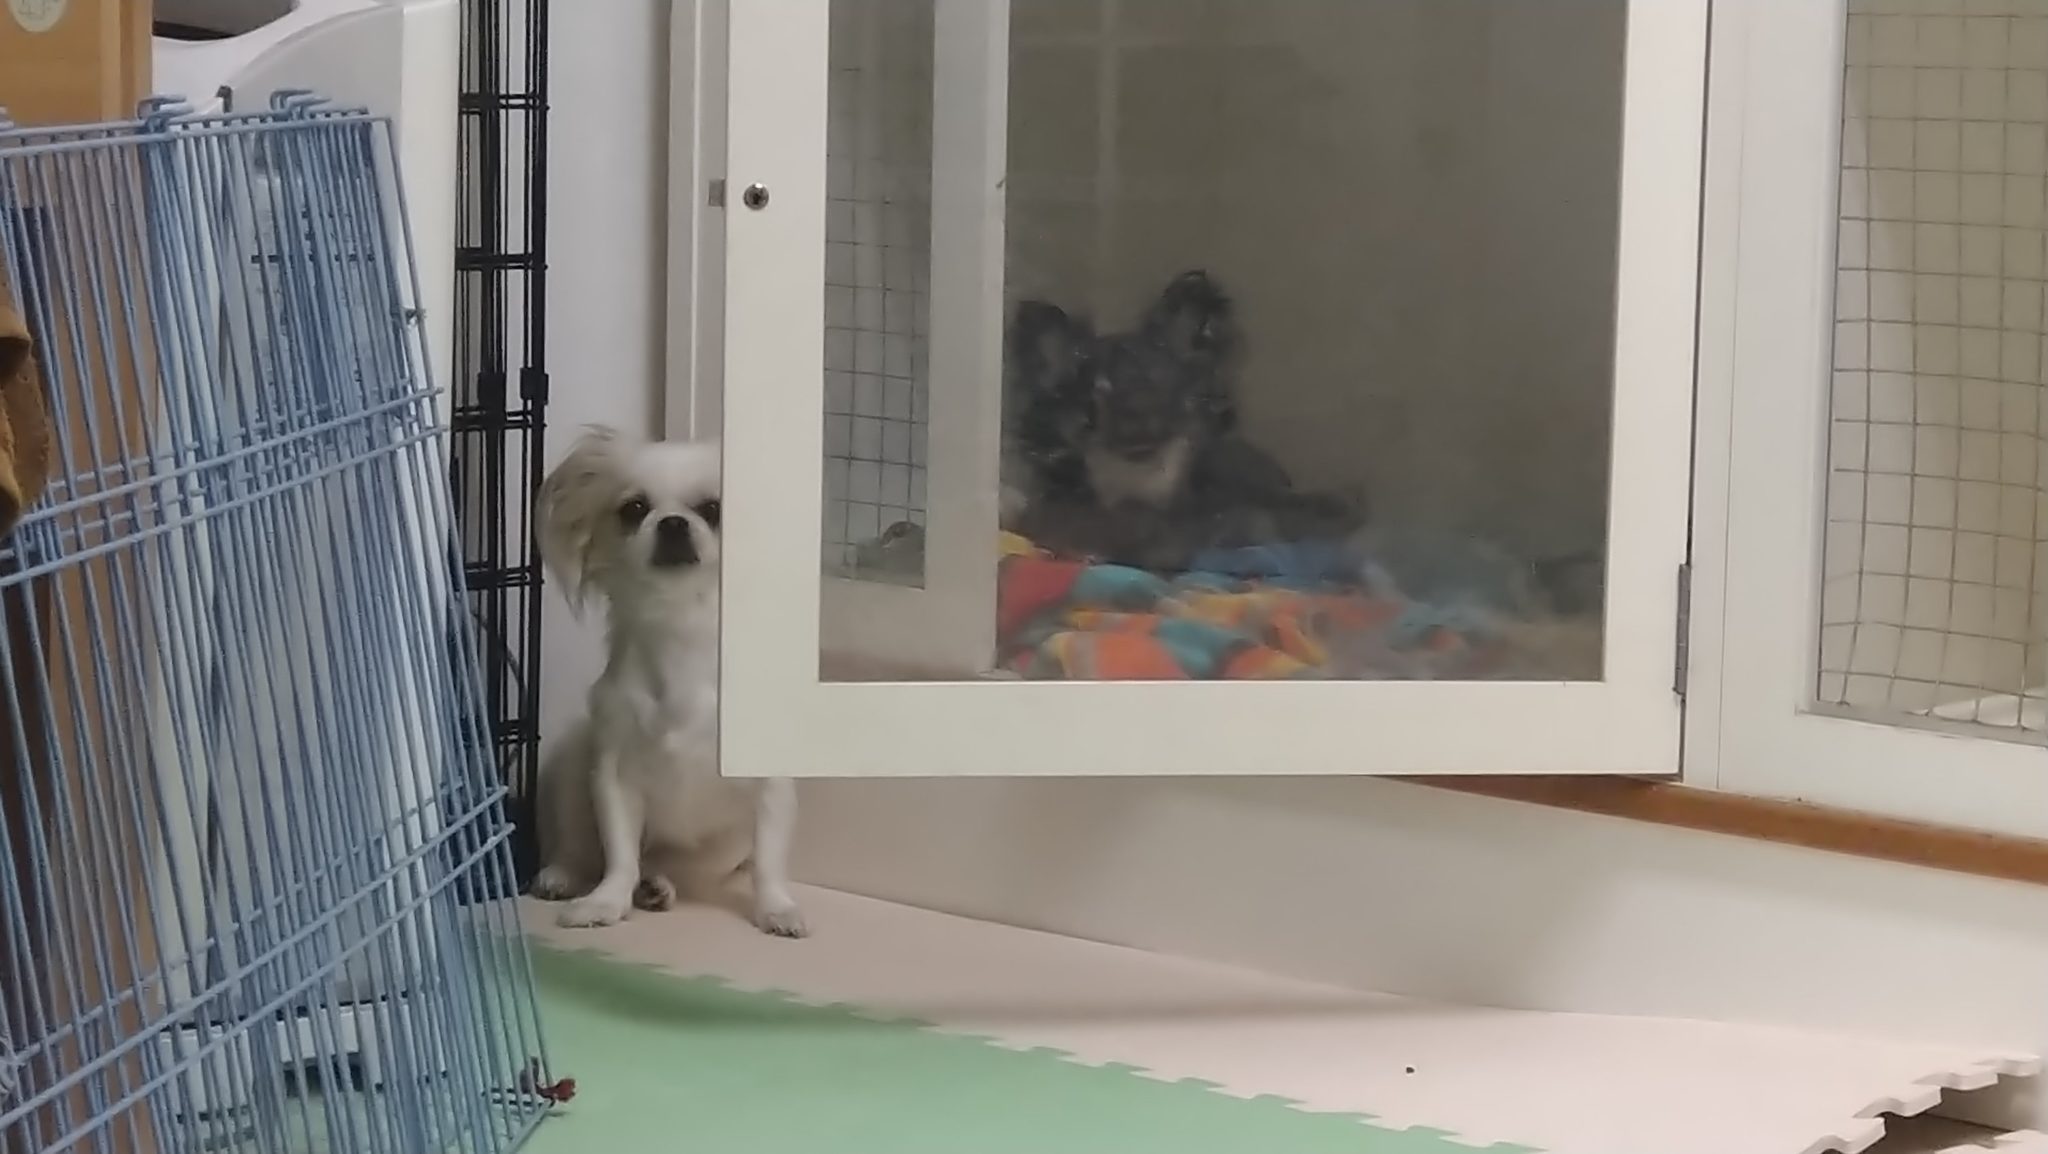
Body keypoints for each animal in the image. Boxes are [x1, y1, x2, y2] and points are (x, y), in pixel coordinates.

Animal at [527, 427, 805, 937]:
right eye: (633, 508)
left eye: (713, 509)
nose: (673, 523)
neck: (680, 629)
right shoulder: (614, 777)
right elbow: (618, 856)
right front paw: (605, 903)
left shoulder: (769, 787)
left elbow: (770, 859)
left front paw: (778, 908)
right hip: (573, 766)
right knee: (582, 849)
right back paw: (565, 877)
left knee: (667, 866)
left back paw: (656, 887)